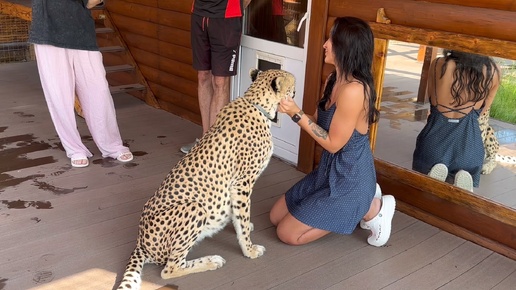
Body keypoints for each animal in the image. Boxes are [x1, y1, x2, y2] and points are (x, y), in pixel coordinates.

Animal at [116, 69, 294, 288]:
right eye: (294, 84)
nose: (296, 93)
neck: (258, 104)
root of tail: (140, 242)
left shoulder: (236, 188)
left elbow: (239, 216)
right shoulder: (242, 183)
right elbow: (242, 220)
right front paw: (250, 250)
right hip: (195, 207)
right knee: (170, 268)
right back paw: (211, 260)